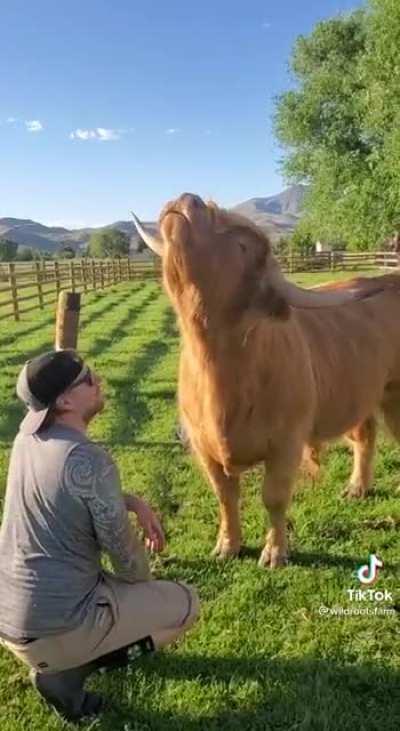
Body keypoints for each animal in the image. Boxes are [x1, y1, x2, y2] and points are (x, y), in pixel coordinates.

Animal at [132, 193, 400, 568]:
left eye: (241, 244)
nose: (188, 198)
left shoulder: (287, 442)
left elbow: (273, 497)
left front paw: (274, 553)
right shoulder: (202, 445)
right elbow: (225, 496)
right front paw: (227, 545)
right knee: (365, 435)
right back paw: (356, 488)